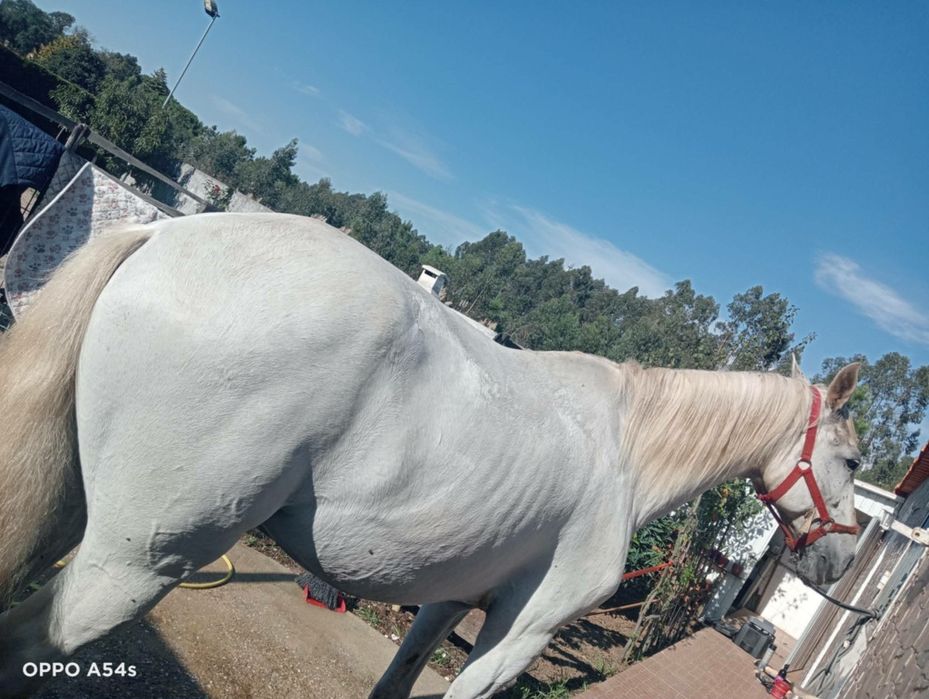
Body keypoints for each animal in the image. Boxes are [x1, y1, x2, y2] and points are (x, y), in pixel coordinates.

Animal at [0, 213, 862, 698]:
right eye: (853, 461)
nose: (838, 563)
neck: (625, 444)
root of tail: (166, 232)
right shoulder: (517, 634)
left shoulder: (446, 604)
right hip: (134, 563)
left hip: (77, 513)